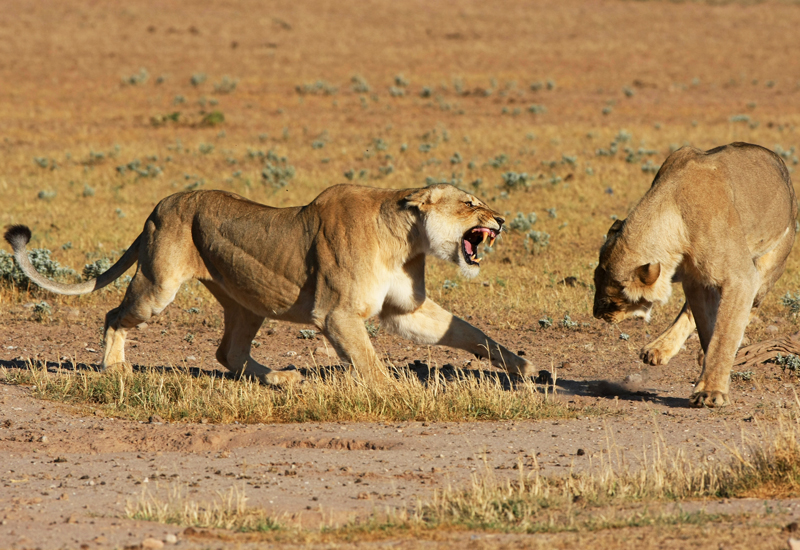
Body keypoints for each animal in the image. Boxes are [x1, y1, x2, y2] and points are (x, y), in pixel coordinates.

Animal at [4, 183, 531, 384]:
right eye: (470, 203)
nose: (502, 220)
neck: (406, 241)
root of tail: (159, 205)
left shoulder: (405, 310)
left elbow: (464, 331)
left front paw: (519, 365)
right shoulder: (335, 314)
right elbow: (369, 360)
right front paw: (396, 392)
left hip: (246, 302)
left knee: (228, 352)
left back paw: (279, 377)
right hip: (157, 286)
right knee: (114, 314)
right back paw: (114, 368)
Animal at [593, 142, 797, 407]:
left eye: (614, 301)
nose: (597, 314)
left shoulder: (741, 278)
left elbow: (724, 334)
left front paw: (711, 390)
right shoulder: (695, 281)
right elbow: (704, 324)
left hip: (770, 264)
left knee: (750, 307)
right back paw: (659, 349)